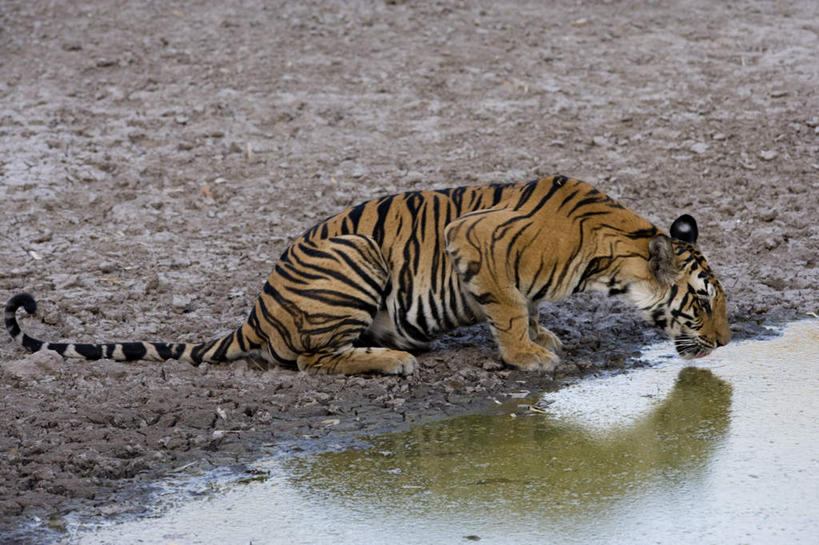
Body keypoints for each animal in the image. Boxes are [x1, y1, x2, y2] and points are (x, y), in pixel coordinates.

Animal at [3, 174, 732, 374]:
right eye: (700, 303)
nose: (728, 344)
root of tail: (255, 312)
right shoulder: (476, 238)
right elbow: (507, 306)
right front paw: (528, 354)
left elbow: (524, 305)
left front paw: (542, 337)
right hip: (355, 253)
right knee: (309, 359)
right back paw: (392, 360)